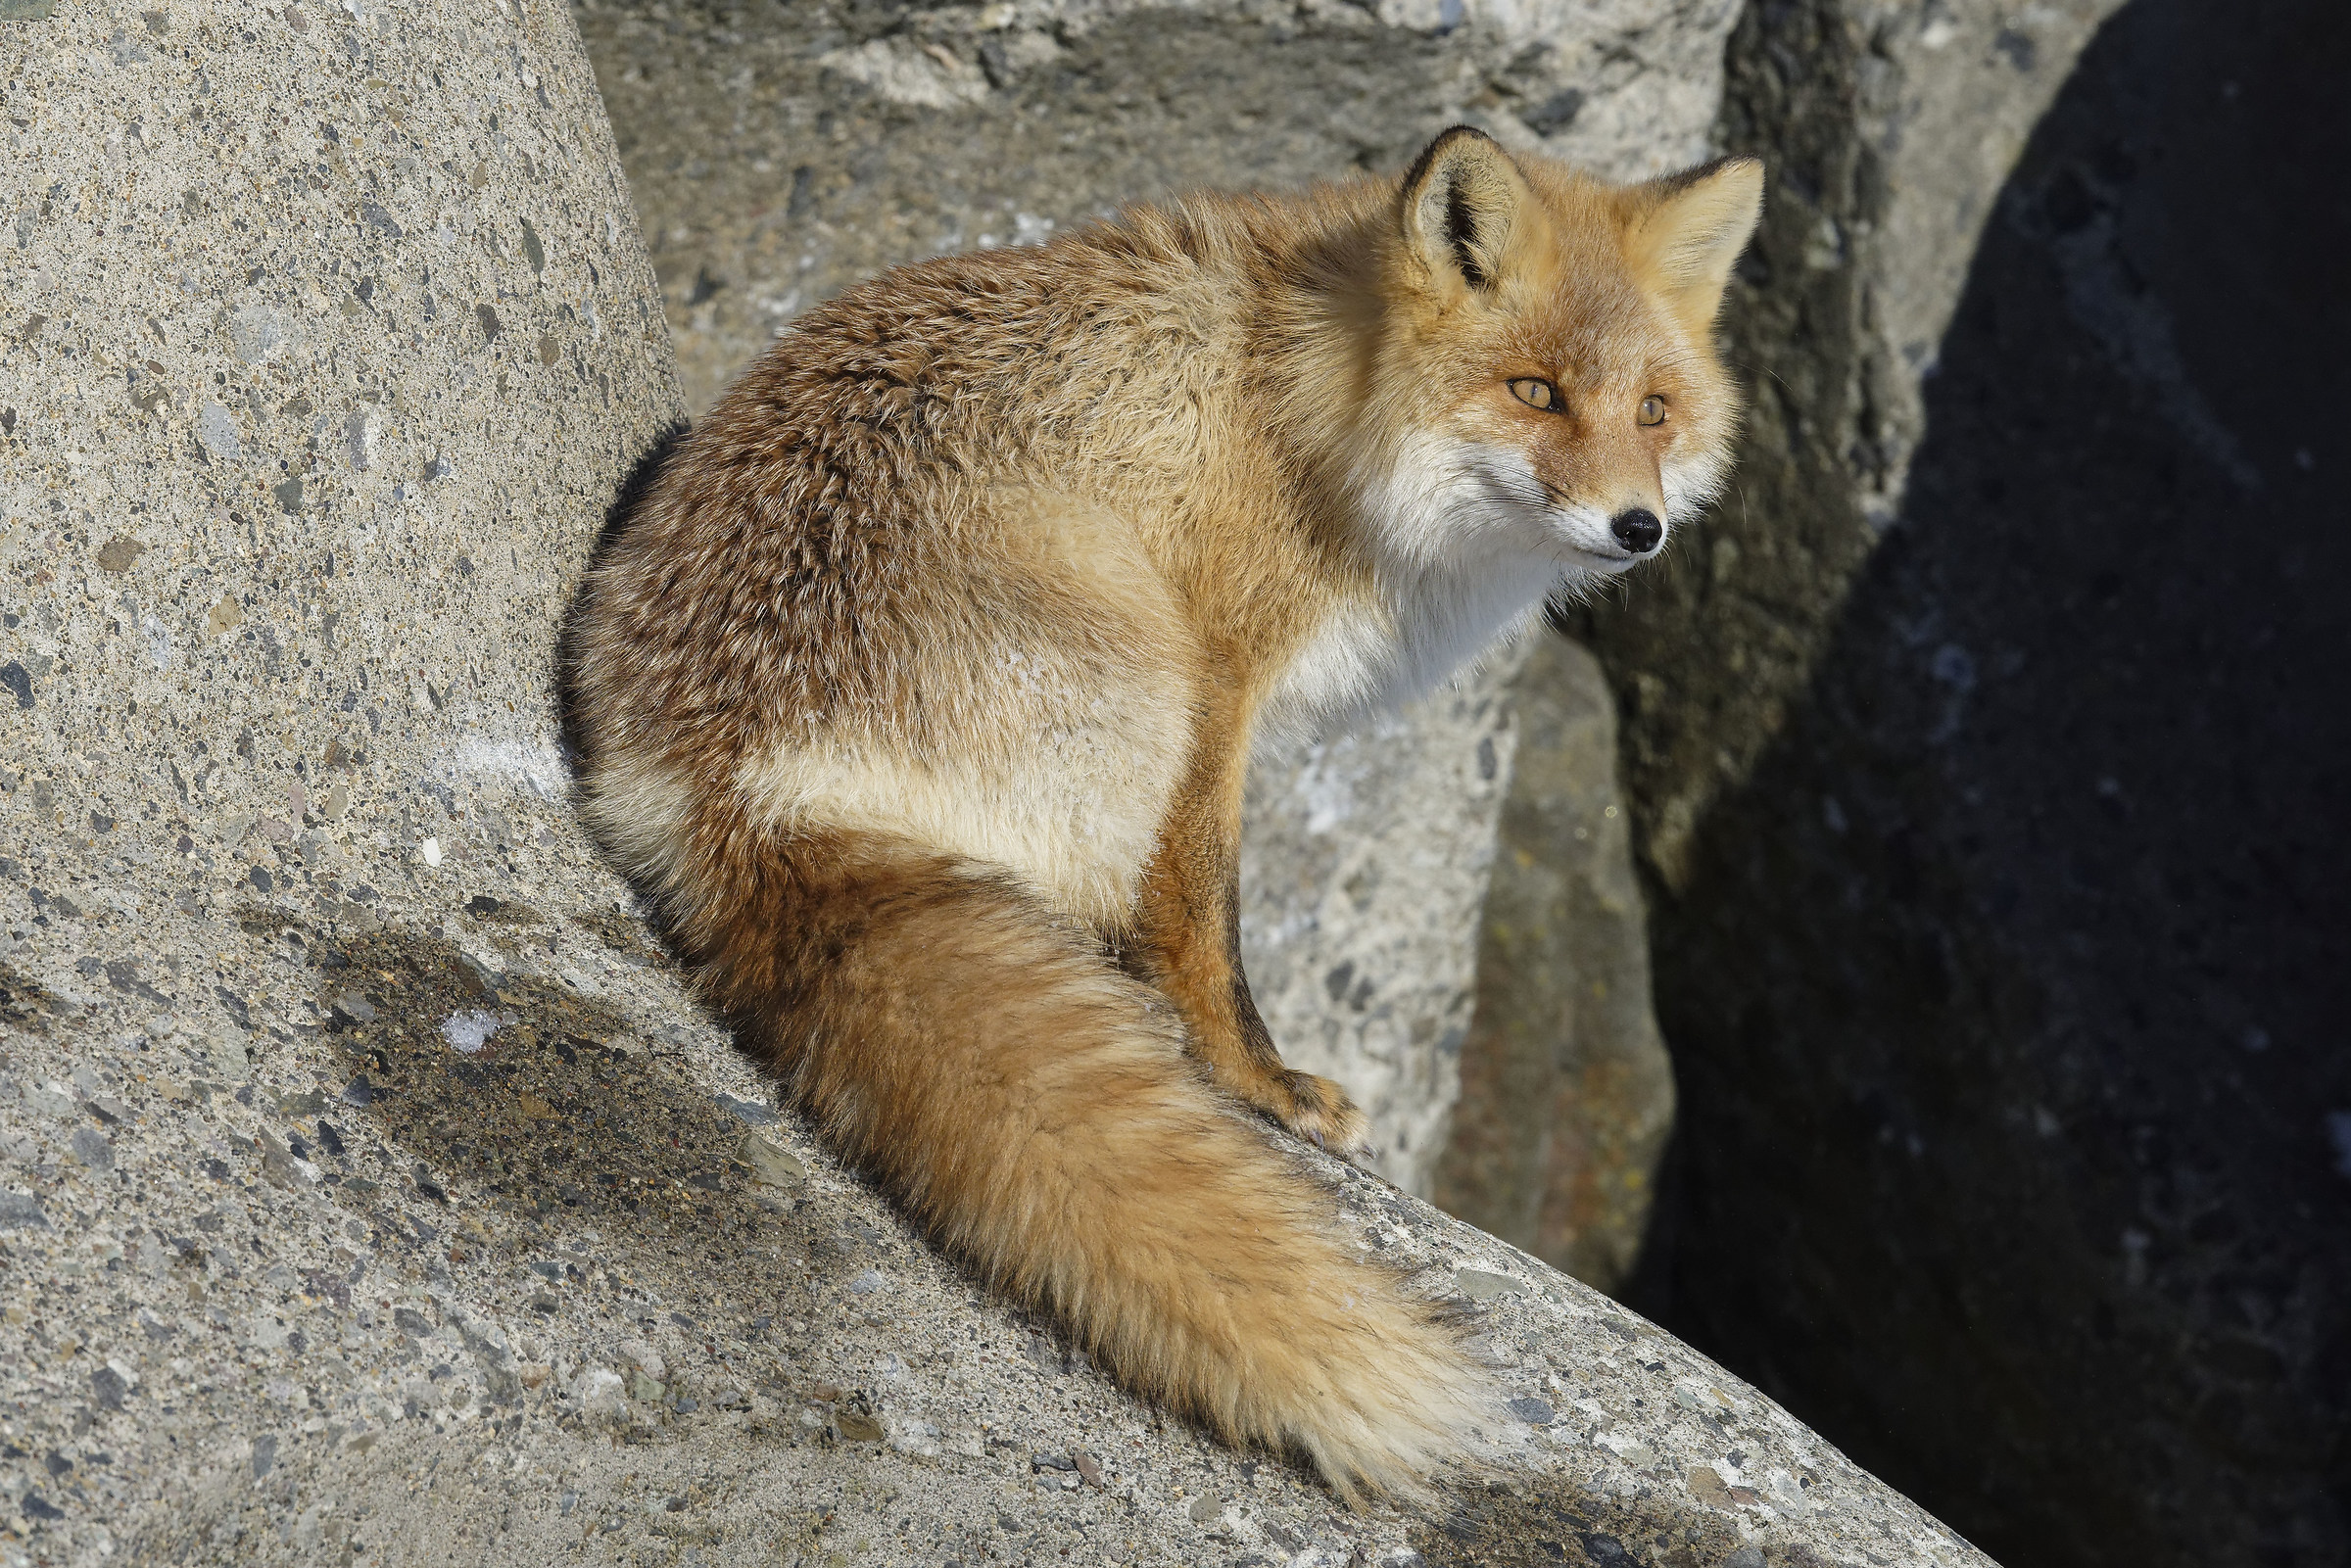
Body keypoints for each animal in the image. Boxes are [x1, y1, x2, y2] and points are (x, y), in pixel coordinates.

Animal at [566, 126, 1761, 1503]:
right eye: (1536, 392)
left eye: (1654, 410)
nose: (1639, 526)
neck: (1300, 409)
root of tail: (741, 785)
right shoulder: (1226, 681)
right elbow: (1205, 924)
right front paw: (1260, 1082)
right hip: (1145, 676)